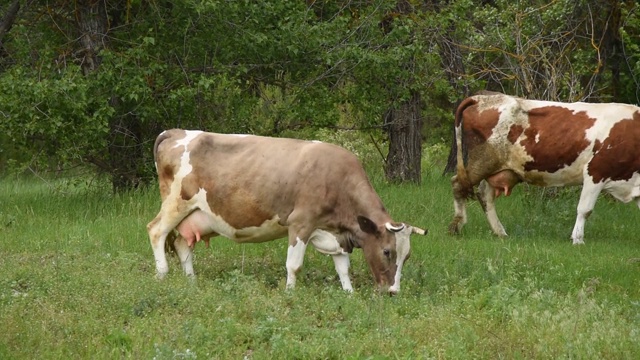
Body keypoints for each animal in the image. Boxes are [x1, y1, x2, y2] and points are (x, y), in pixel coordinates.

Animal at [146, 129, 424, 292]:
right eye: (387, 251)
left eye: (407, 256)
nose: (393, 291)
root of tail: (176, 132)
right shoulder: (301, 223)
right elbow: (294, 265)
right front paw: (290, 293)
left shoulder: (335, 233)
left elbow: (342, 267)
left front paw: (348, 294)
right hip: (175, 204)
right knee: (156, 231)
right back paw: (162, 274)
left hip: (196, 216)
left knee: (181, 244)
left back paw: (191, 282)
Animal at [448, 93, 640, 245]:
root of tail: (482, 97)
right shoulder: (596, 172)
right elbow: (585, 209)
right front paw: (578, 240)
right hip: (480, 164)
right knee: (458, 185)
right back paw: (456, 226)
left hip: (497, 169)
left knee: (485, 196)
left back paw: (500, 232)